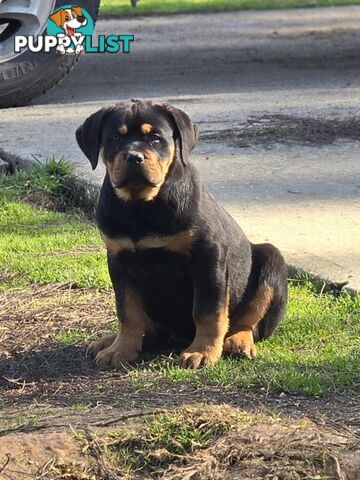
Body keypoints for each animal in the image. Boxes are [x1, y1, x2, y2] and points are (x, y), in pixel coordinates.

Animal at [75, 99, 286, 370]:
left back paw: (239, 342)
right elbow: (127, 312)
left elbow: (208, 310)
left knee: (250, 322)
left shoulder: (208, 257)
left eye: (156, 138)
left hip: (272, 261)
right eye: (113, 138)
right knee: (149, 327)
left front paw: (203, 351)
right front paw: (120, 349)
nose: (134, 157)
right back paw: (110, 341)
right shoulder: (118, 260)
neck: (141, 207)